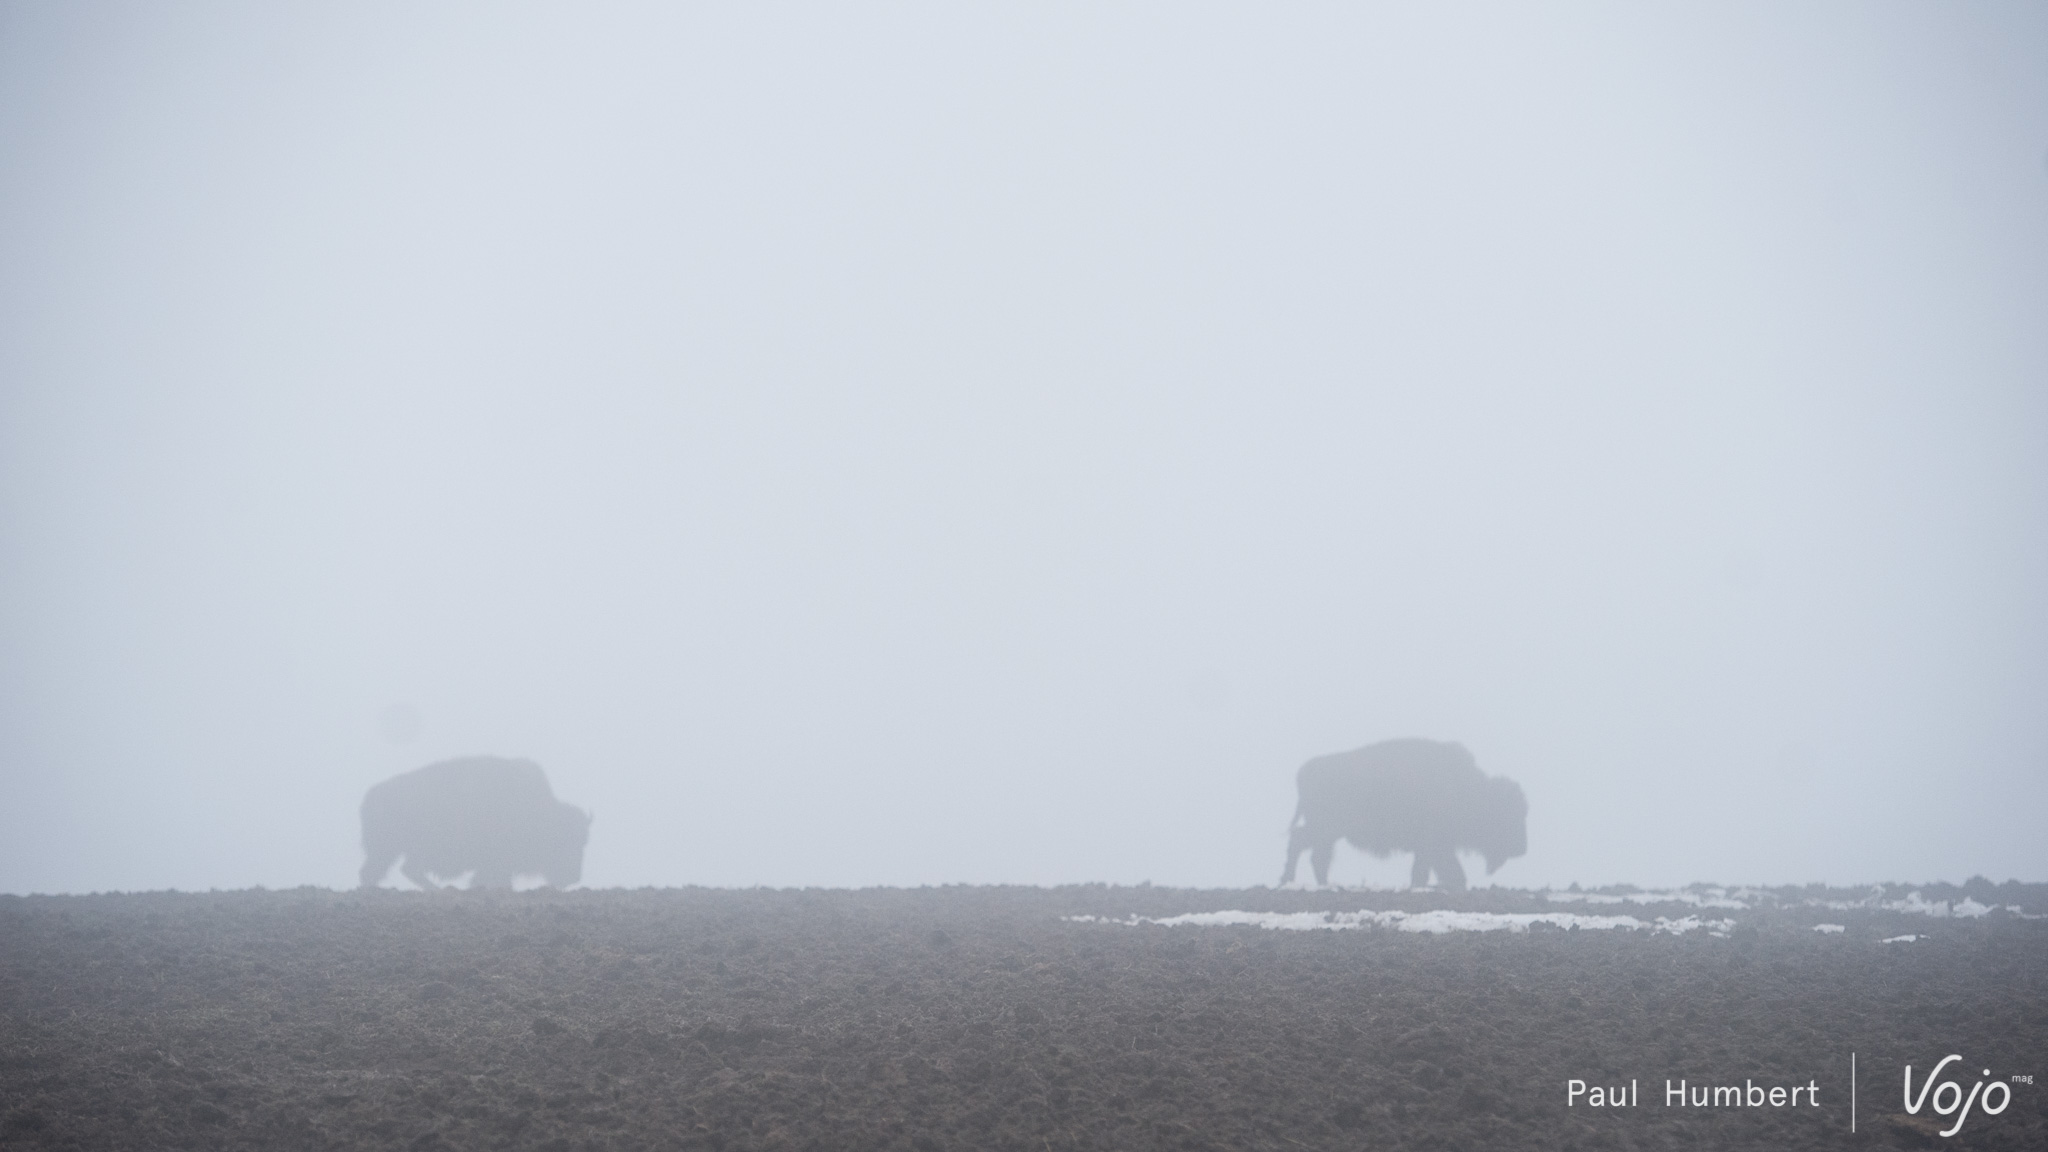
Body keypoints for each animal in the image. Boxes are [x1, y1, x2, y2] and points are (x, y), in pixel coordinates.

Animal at [354, 754, 585, 889]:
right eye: (563, 841)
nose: (574, 877)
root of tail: (370, 798)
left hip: (394, 852)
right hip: (392, 850)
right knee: (393, 870)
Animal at [1277, 733, 1523, 889]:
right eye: (1506, 814)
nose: (1521, 848)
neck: (1469, 789)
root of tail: (1305, 771)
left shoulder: (1431, 847)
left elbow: (1423, 869)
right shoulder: (1437, 845)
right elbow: (1442, 867)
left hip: (1327, 832)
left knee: (1308, 848)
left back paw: (1306, 881)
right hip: (1326, 830)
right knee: (1310, 850)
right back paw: (1304, 882)